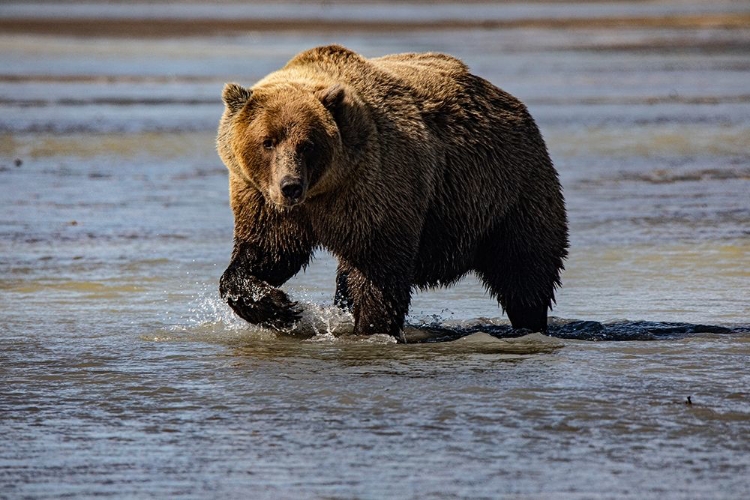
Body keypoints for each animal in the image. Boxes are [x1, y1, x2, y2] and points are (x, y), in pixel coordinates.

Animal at [217, 45, 568, 340]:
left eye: (307, 144)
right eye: (268, 141)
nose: (290, 185)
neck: (325, 189)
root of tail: (513, 103)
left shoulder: (375, 186)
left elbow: (377, 268)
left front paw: (372, 329)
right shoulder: (262, 198)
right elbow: (266, 253)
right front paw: (280, 307)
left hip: (508, 192)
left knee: (524, 269)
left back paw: (529, 323)